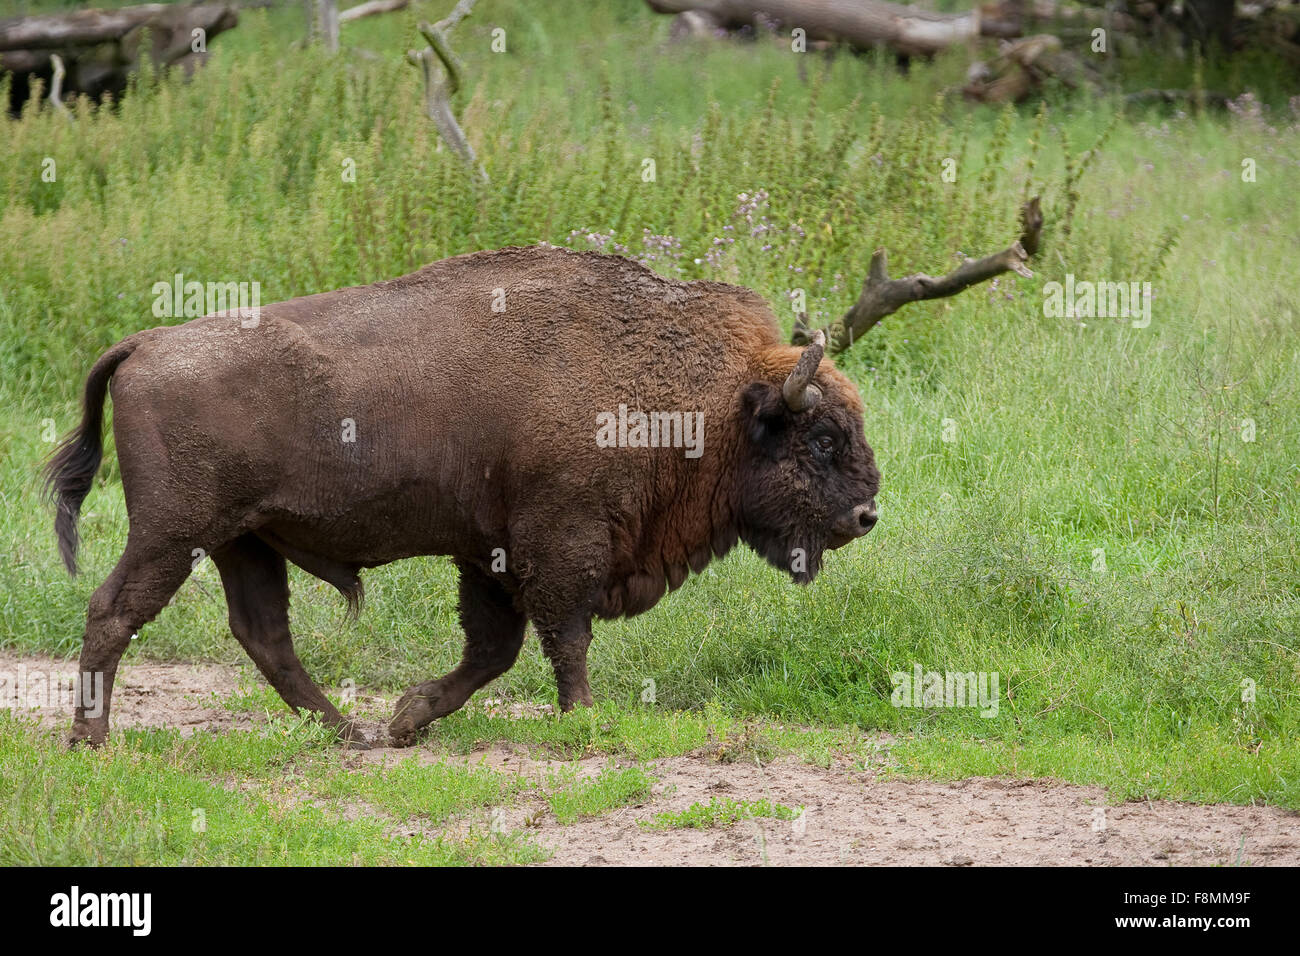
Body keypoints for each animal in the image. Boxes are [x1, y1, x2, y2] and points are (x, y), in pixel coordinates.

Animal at [45, 244, 878, 749]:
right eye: (822, 437)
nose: (867, 515)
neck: (706, 400)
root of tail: (143, 344)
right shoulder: (559, 544)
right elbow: (561, 639)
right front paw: (584, 721)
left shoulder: (490, 556)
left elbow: (493, 649)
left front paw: (408, 718)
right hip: (173, 534)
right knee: (114, 611)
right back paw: (93, 740)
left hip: (243, 541)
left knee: (263, 634)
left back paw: (348, 732)